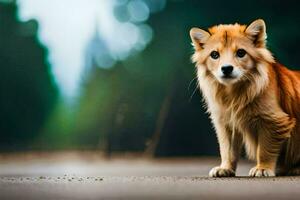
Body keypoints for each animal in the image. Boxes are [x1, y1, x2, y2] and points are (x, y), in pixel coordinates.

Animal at [190, 19, 300, 177]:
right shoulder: (225, 122)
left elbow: (265, 149)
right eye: (214, 54)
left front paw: (263, 168)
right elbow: (227, 149)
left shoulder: (273, 120)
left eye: (241, 53)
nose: (226, 68)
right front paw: (225, 168)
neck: (233, 94)